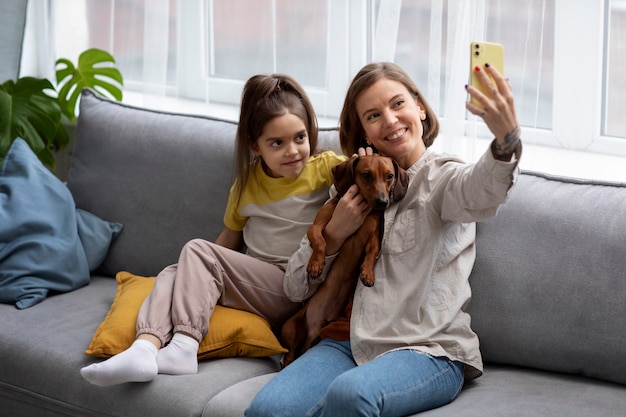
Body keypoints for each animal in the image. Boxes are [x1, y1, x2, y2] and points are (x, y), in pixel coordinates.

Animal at [280, 153, 408, 364]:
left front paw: (368, 273)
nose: (382, 202)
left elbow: (372, 252)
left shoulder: (374, 237)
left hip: (315, 336)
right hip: (289, 328)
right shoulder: (318, 225)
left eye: (390, 176)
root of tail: (312, 329)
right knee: (289, 355)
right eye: (366, 175)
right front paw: (315, 265)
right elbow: (319, 240)